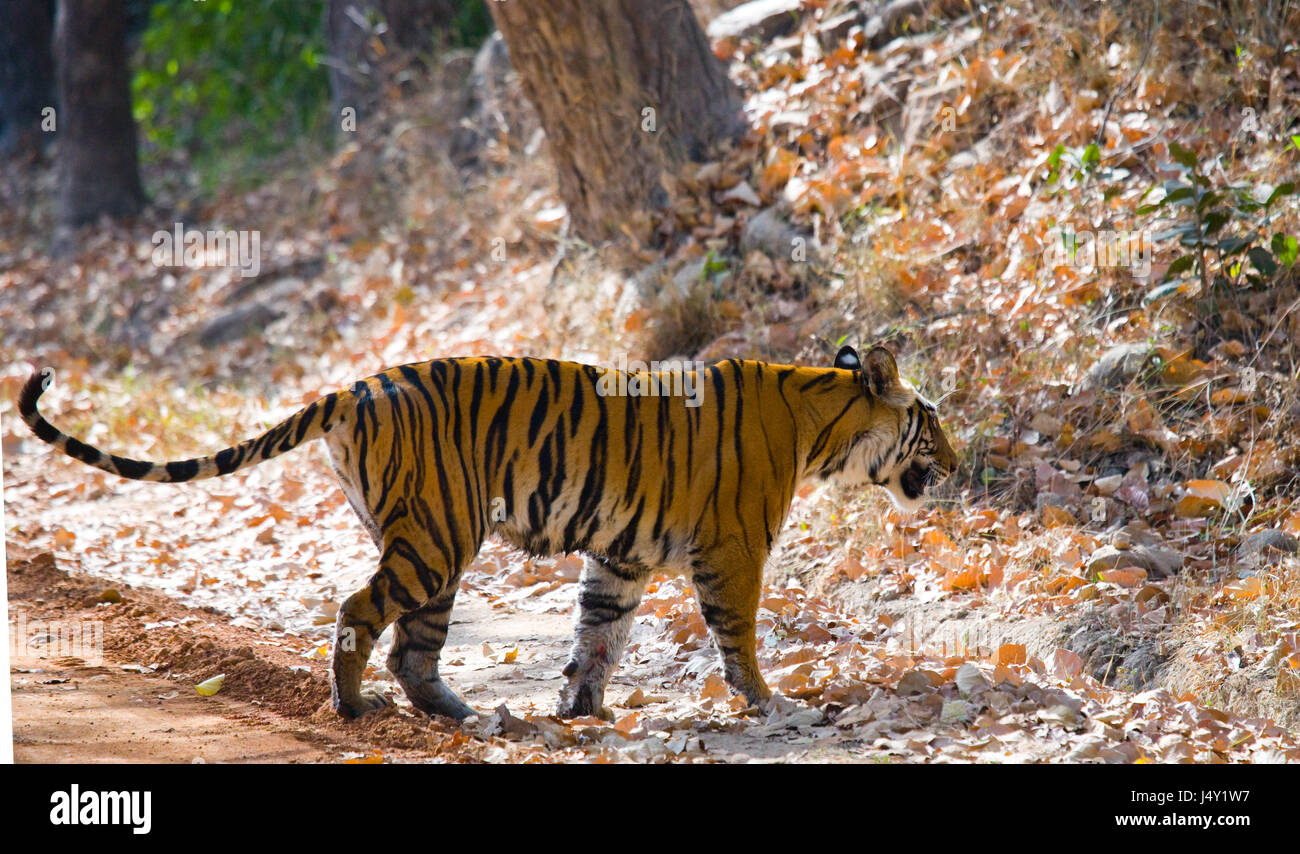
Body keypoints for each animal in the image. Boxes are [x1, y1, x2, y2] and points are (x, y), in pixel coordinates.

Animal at [15, 345, 961, 717]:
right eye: (933, 424)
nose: (957, 461)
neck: (820, 426)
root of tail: (355, 385)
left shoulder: (619, 557)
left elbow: (597, 634)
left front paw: (581, 710)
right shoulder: (732, 553)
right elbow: (739, 636)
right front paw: (770, 703)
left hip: (433, 545)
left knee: (413, 645)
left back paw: (460, 713)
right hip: (438, 535)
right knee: (359, 614)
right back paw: (351, 708)